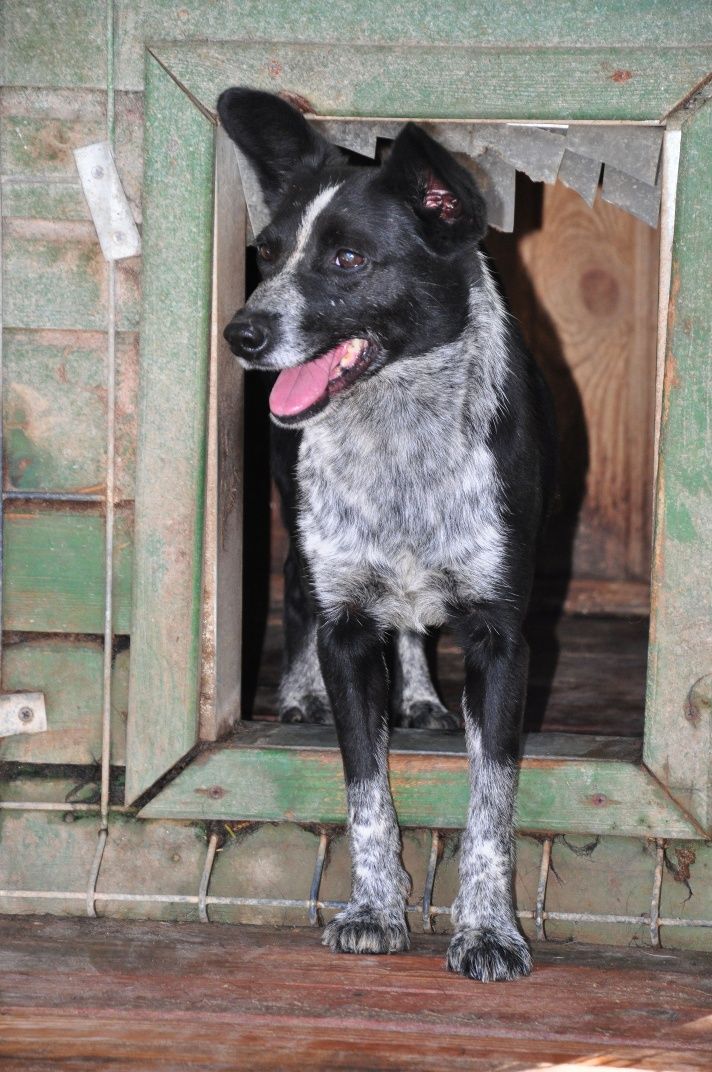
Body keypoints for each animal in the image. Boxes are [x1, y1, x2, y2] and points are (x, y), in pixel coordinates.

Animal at [216, 87, 557, 981]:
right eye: (267, 253)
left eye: (347, 260)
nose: (241, 335)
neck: (400, 432)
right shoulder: (345, 627)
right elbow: (366, 791)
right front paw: (373, 908)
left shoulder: (502, 638)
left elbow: (491, 805)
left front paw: (488, 930)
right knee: (297, 591)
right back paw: (300, 692)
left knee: (410, 626)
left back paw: (420, 697)